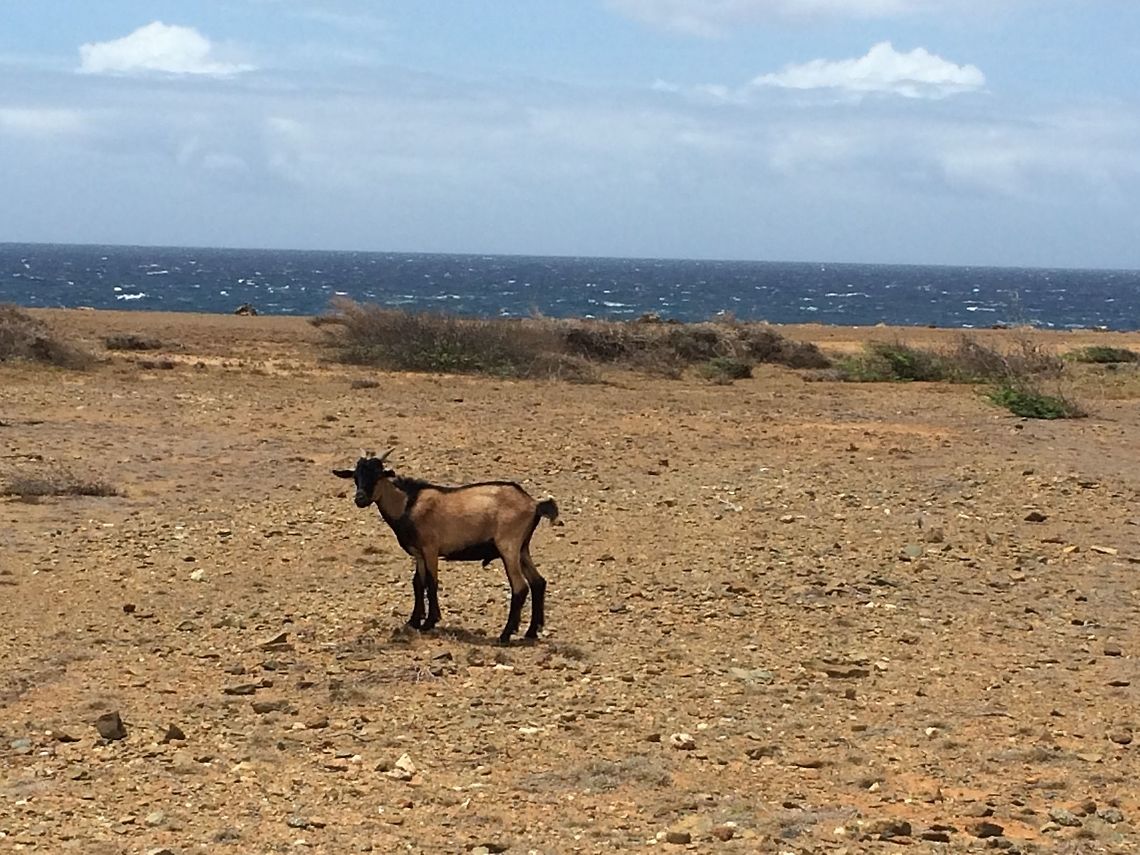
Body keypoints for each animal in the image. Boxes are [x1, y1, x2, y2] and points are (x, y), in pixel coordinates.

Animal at [333, 450, 560, 643]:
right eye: (356, 477)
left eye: (377, 475)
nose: (360, 498)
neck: (408, 503)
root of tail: (534, 504)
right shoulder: (418, 553)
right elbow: (418, 583)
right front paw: (413, 621)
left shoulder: (430, 548)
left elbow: (431, 582)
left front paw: (429, 622)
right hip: (522, 548)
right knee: (538, 582)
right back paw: (531, 632)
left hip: (509, 545)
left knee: (520, 586)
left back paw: (505, 635)